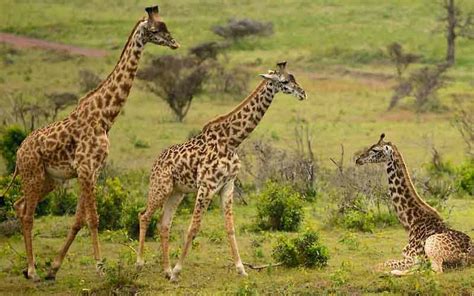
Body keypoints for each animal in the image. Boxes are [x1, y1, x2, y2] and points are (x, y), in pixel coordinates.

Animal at [0, 5, 180, 282]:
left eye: (165, 26)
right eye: (155, 29)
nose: (174, 43)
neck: (105, 116)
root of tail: (19, 152)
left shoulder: (91, 171)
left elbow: (78, 220)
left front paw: (54, 267)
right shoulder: (86, 168)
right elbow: (93, 219)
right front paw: (100, 267)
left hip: (50, 180)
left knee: (20, 206)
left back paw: (31, 268)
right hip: (33, 174)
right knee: (29, 214)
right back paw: (32, 270)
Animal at [137, 61, 308, 280]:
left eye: (293, 78)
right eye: (285, 81)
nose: (303, 93)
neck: (232, 140)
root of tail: (155, 162)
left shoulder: (227, 185)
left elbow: (230, 228)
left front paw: (241, 269)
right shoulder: (207, 186)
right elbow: (193, 228)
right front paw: (177, 271)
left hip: (177, 192)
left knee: (164, 223)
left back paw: (165, 270)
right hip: (161, 186)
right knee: (144, 215)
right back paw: (141, 263)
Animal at [354, 134, 472, 276]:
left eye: (375, 150)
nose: (358, 159)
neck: (411, 222)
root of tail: (468, 256)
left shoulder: (413, 257)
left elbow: (379, 265)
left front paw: (387, 271)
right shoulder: (408, 257)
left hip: (431, 247)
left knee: (435, 271)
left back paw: (393, 272)